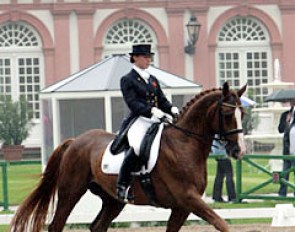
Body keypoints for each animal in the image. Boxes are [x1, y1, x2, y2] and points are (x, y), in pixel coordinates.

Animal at [10, 82, 246, 231]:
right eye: (227, 114)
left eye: (242, 113)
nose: (239, 151)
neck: (184, 144)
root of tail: (75, 141)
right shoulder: (188, 198)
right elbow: (222, 224)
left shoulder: (182, 207)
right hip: (71, 191)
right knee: (57, 225)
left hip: (113, 200)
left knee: (98, 226)